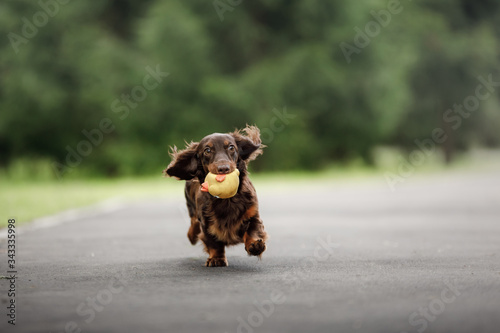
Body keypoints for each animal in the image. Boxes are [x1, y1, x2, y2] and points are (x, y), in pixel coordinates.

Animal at [164, 126, 268, 266]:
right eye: (207, 150)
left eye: (231, 147)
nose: (223, 168)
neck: (226, 200)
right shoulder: (206, 223)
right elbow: (213, 243)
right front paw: (216, 259)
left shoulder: (252, 213)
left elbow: (254, 229)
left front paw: (255, 245)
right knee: (193, 223)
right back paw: (192, 235)